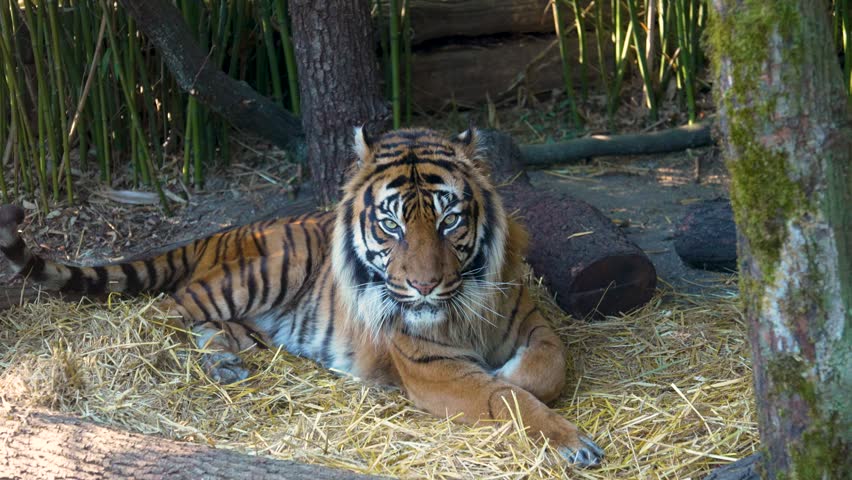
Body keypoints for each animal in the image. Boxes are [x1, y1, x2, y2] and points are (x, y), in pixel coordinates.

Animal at [0, 127, 604, 467]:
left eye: (449, 219)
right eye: (391, 225)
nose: (425, 285)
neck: (463, 307)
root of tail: (226, 230)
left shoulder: (533, 321)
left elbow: (548, 367)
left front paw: (515, 375)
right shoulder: (434, 369)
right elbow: (507, 398)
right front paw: (569, 441)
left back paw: (234, 356)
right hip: (265, 270)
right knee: (172, 306)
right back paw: (213, 357)